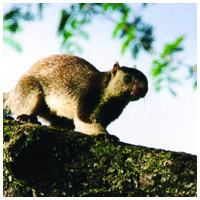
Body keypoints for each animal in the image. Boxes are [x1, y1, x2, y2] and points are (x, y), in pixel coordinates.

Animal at [2, 54, 148, 136]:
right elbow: (85, 120)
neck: (115, 102)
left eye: (146, 80)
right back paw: (27, 117)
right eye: (127, 78)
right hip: (30, 91)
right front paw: (105, 135)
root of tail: (13, 93)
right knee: (23, 106)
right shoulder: (89, 97)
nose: (143, 89)